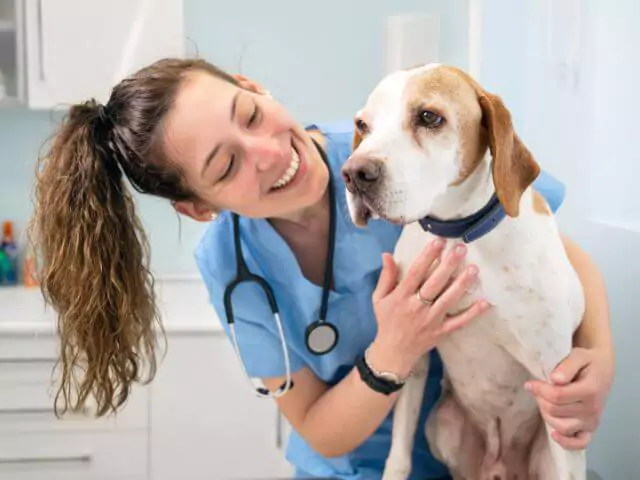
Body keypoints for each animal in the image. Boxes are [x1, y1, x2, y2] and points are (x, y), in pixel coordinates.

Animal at [342, 64, 588, 480]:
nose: (354, 173)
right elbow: (399, 456)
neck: (461, 235)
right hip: (442, 422)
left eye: (429, 117)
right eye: (363, 124)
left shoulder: (554, 384)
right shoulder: (412, 358)